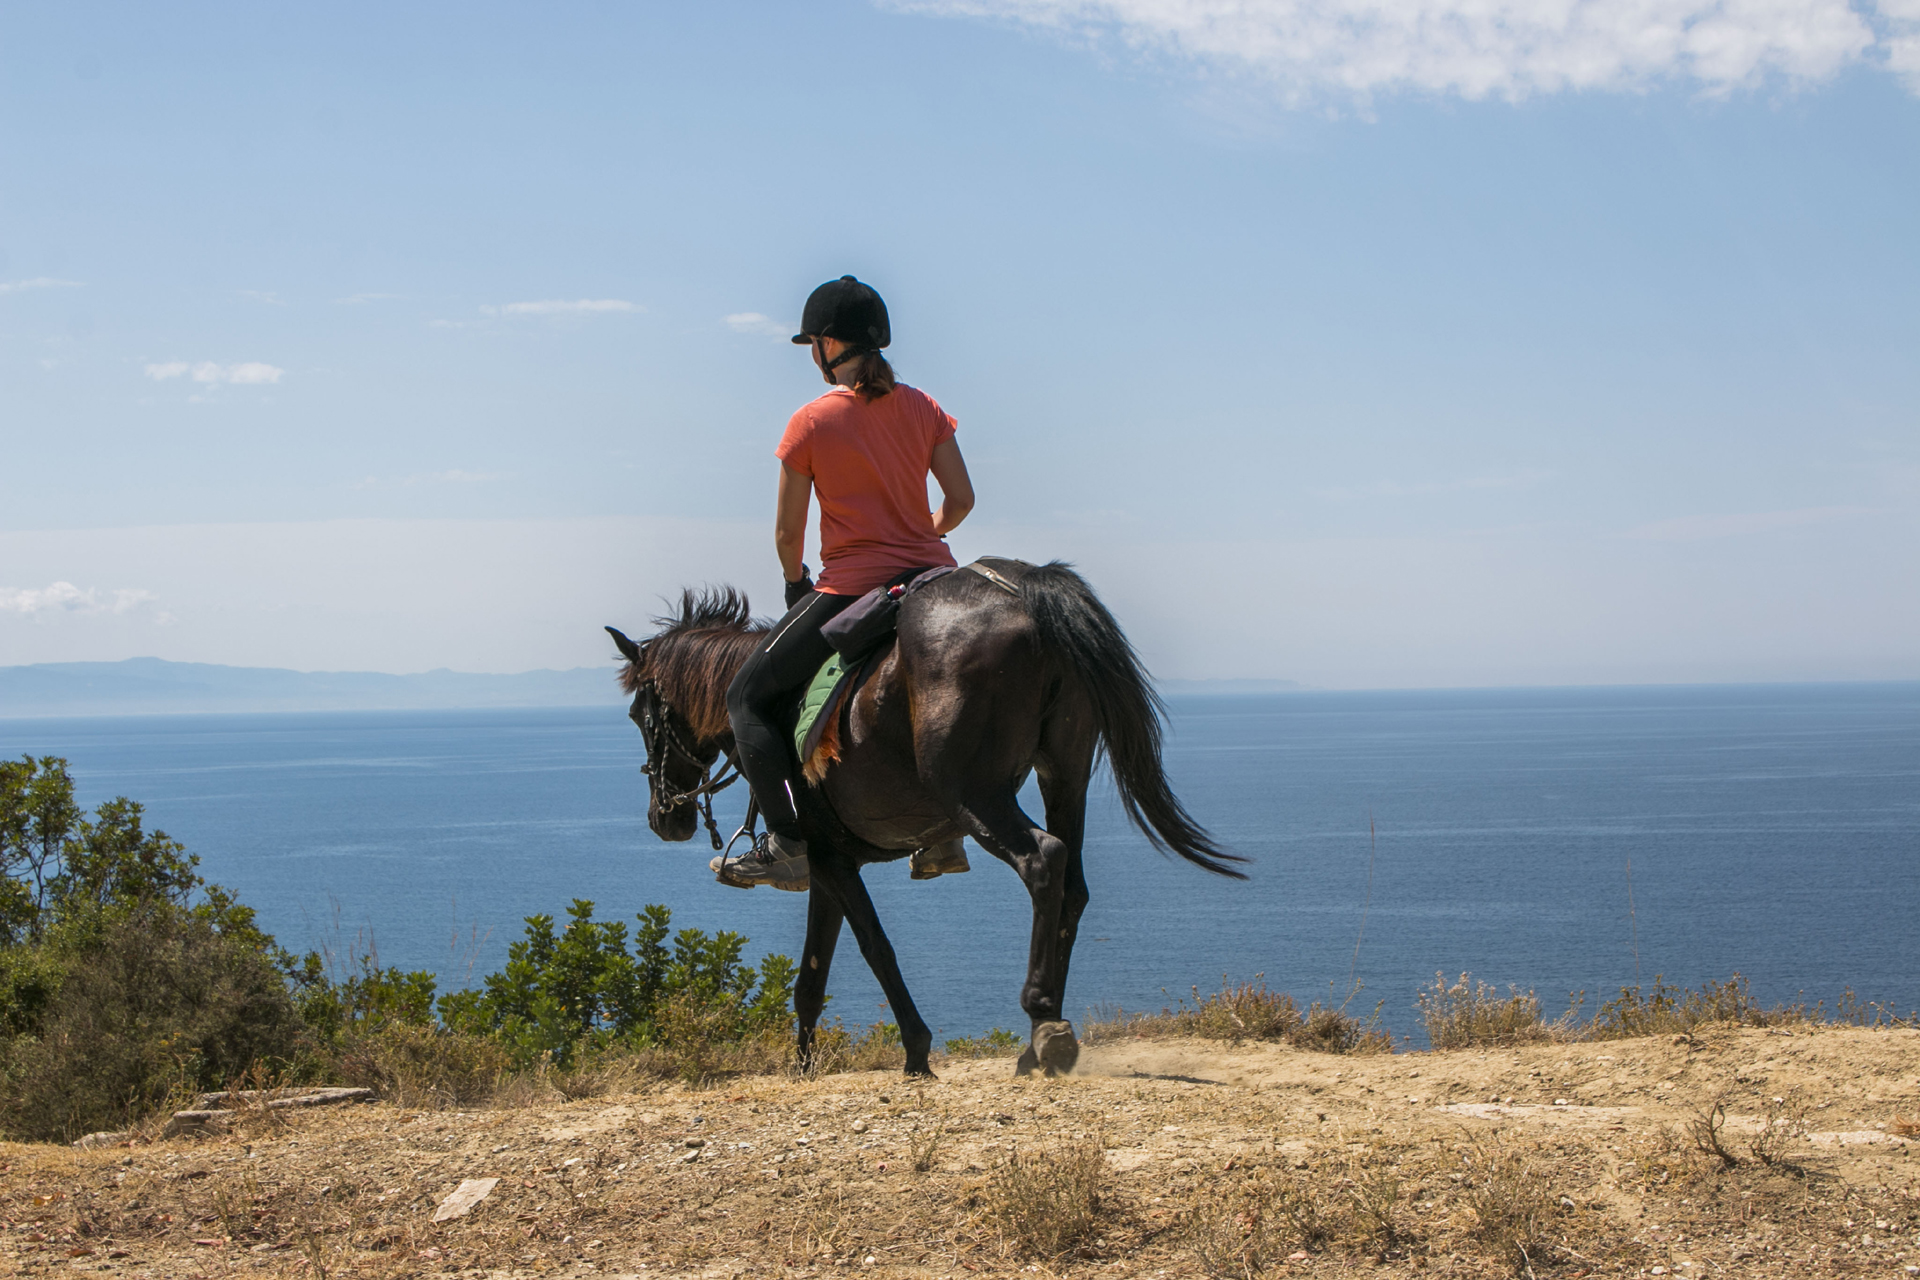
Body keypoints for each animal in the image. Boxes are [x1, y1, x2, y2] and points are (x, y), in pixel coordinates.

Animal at [610, 560, 1244, 1082]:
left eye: (640, 715)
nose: (664, 818)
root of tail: (1025, 587)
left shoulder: (829, 859)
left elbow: (874, 947)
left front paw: (915, 1050)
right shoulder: (830, 864)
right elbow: (812, 975)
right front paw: (804, 1065)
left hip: (972, 792)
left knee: (1043, 860)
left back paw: (1044, 1020)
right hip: (1063, 775)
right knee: (1074, 886)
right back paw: (1037, 1044)